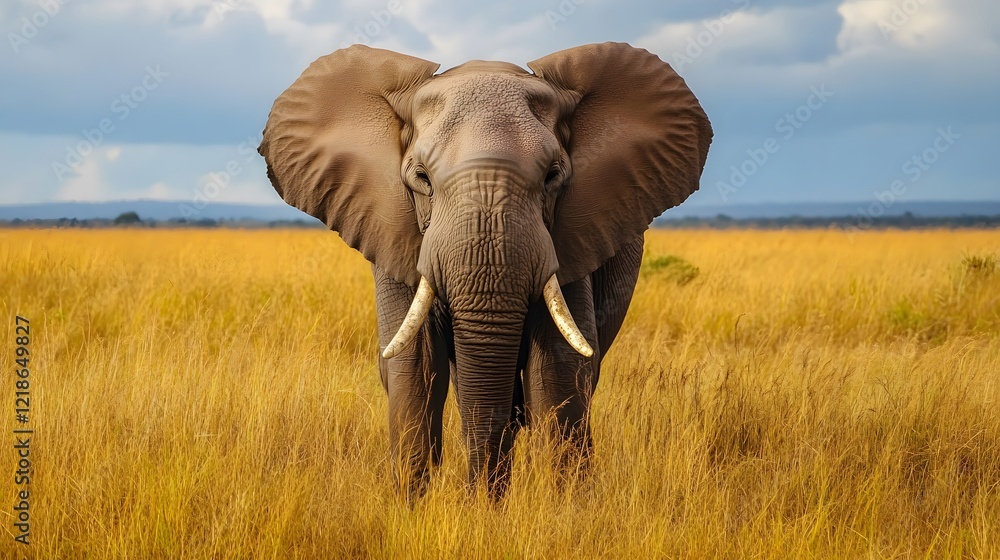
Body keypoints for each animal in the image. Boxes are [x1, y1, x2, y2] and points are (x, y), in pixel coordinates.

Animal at [258, 42, 712, 499]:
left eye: (553, 176)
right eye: (421, 177)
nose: (478, 499)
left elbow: (560, 369)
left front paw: (564, 507)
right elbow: (415, 365)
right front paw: (413, 507)